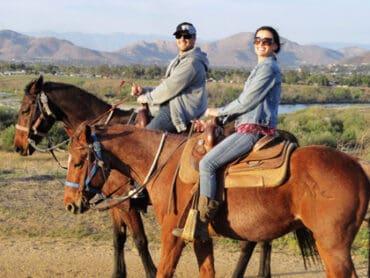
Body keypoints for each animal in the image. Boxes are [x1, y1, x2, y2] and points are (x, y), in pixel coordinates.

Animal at [13, 75, 156, 278]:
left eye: (25, 110)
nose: (18, 146)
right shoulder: (114, 202)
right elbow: (118, 238)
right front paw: (118, 273)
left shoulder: (126, 203)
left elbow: (140, 241)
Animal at [65, 122, 368, 276]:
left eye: (78, 162)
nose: (70, 203)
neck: (164, 163)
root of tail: (357, 167)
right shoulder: (200, 236)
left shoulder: (172, 234)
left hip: (332, 247)